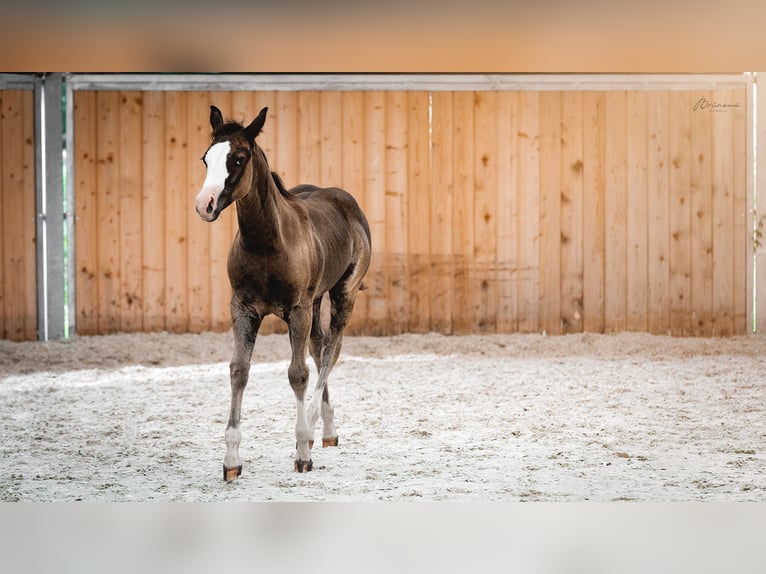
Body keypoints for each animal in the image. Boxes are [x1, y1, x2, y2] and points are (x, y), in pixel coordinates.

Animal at [196, 104, 374, 482]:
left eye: (238, 159)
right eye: (206, 159)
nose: (205, 204)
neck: (267, 244)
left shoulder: (297, 309)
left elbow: (298, 374)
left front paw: (302, 452)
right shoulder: (242, 309)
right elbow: (239, 370)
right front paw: (231, 461)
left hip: (342, 294)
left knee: (331, 350)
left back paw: (313, 426)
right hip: (316, 300)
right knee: (319, 346)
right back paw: (328, 430)